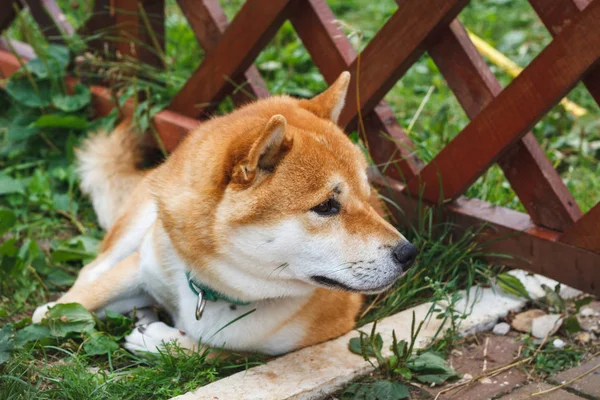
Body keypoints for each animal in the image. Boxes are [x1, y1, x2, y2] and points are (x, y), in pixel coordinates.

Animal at [31, 72, 418, 354]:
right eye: (326, 206)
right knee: (94, 267)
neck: (210, 289)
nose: (408, 253)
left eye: (367, 196)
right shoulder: (146, 261)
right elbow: (84, 297)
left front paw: (161, 340)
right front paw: (55, 312)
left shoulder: (290, 344)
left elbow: (209, 351)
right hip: (143, 222)